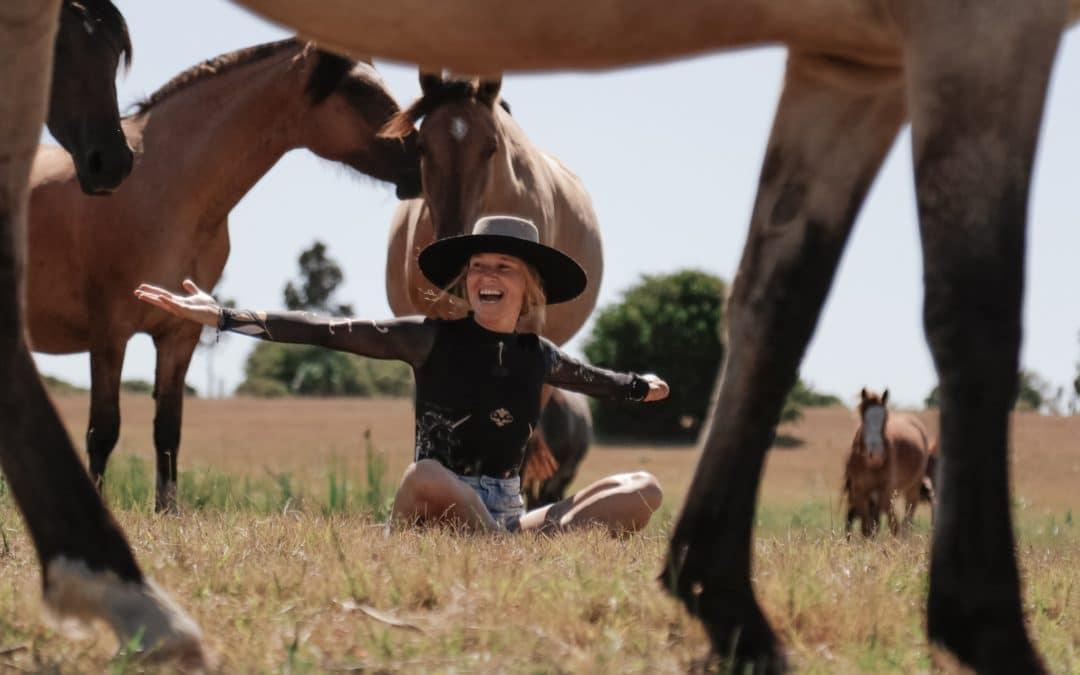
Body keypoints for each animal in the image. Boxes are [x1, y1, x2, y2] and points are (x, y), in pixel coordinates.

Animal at [25, 38, 421, 509]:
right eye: (359, 89)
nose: (421, 161)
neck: (161, 187)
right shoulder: (110, 333)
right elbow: (103, 431)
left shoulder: (179, 335)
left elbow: (167, 431)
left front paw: (167, 513)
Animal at [838, 388, 933, 537]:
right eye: (863, 417)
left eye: (885, 418)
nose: (875, 452)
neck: (870, 465)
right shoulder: (860, 492)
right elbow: (867, 526)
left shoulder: (884, 491)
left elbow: (877, 524)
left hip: (912, 489)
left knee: (905, 522)